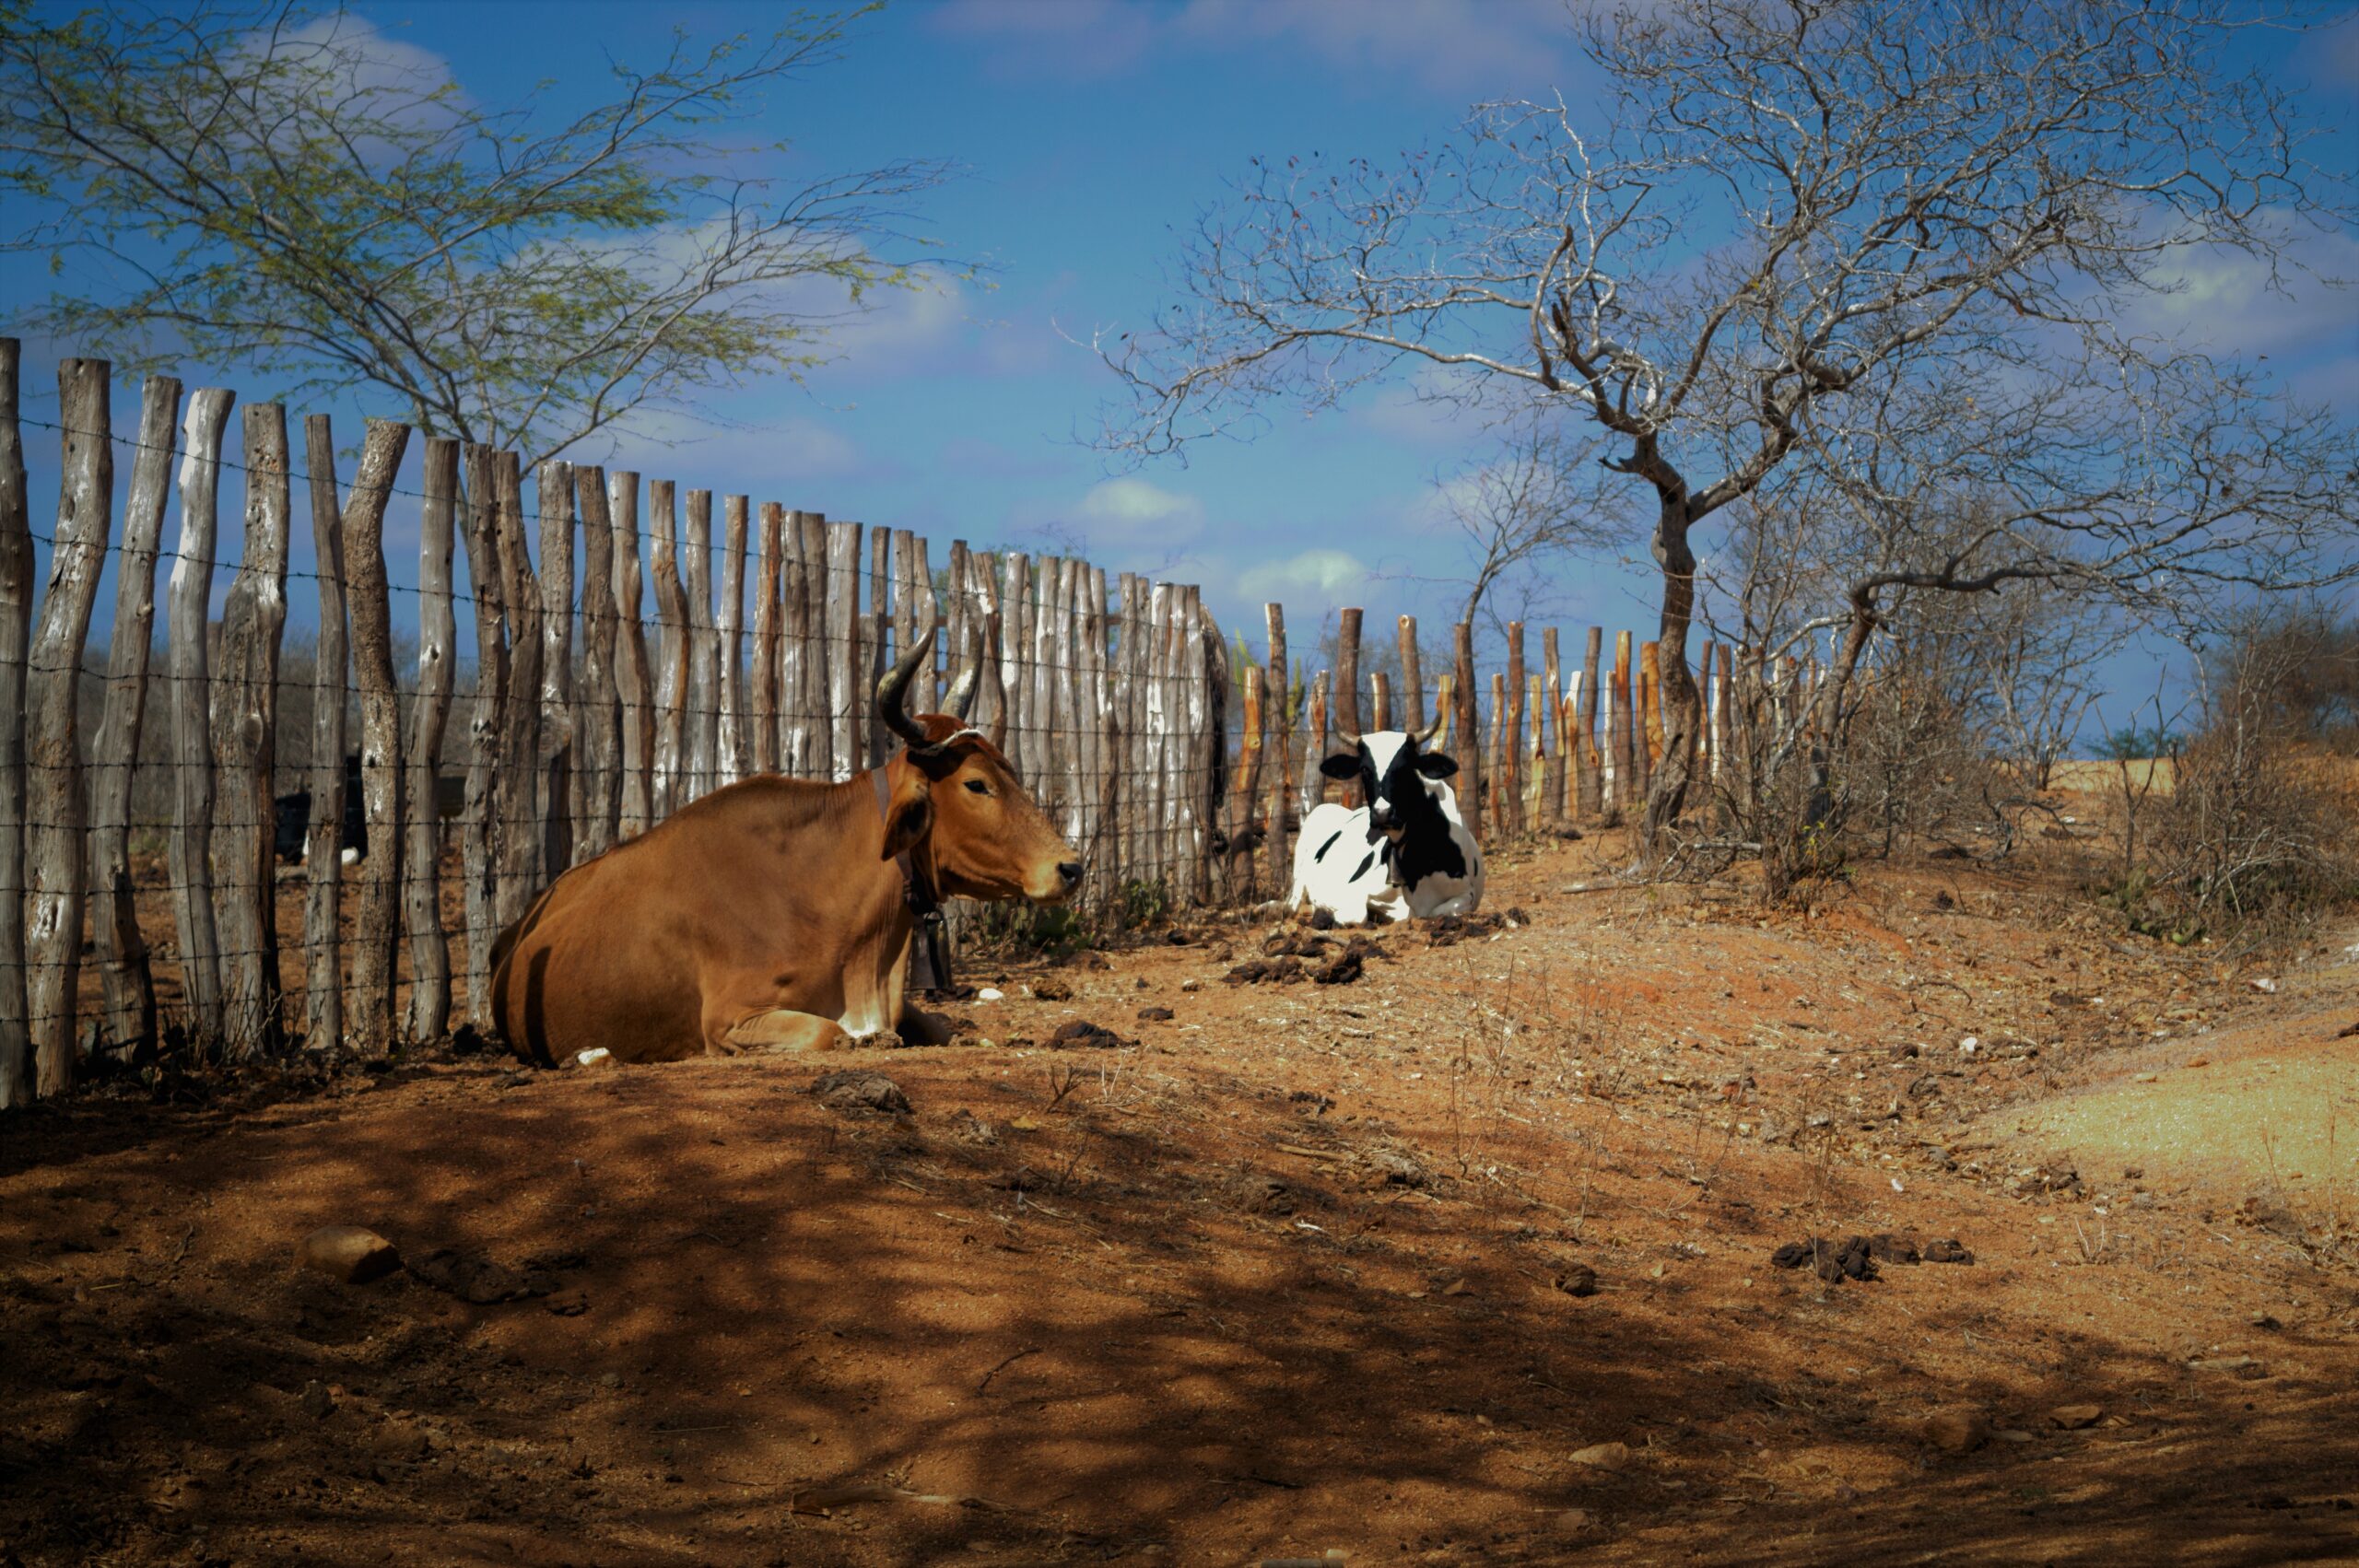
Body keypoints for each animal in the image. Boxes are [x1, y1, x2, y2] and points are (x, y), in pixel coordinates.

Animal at [1283, 726, 1481, 924]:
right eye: (1364, 769)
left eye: (1406, 768)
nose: (1382, 813)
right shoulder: (1348, 889)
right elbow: (1358, 913)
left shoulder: (1467, 894)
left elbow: (1439, 911)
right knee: (1293, 902)